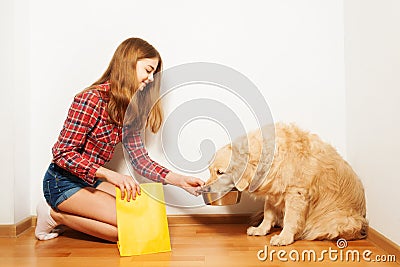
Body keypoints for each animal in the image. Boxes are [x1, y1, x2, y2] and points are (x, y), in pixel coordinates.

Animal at [205, 123, 368, 247]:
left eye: (220, 172)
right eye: (210, 171)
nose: (205, 188)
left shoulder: (296, 193)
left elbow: (290, 218)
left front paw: (284, 238)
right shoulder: (273, 191)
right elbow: (268, 214)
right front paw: (261, 229)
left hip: (340, 219)